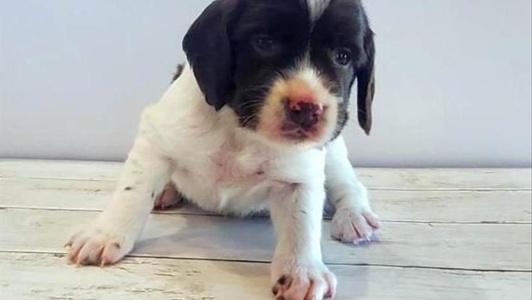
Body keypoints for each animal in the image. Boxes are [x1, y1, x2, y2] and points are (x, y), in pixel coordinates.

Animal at [66, 1, 380, 298]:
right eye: (264, 42)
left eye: (343, 57)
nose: (306, 109)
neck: (241, 128)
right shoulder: (156, 137)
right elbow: (132, 194)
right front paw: (105, 234)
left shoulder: (302, 171)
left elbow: (302, 221)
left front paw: (303, 271)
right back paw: (168, 190)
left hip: (333, 151)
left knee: (349, 185)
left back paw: (354, 216)